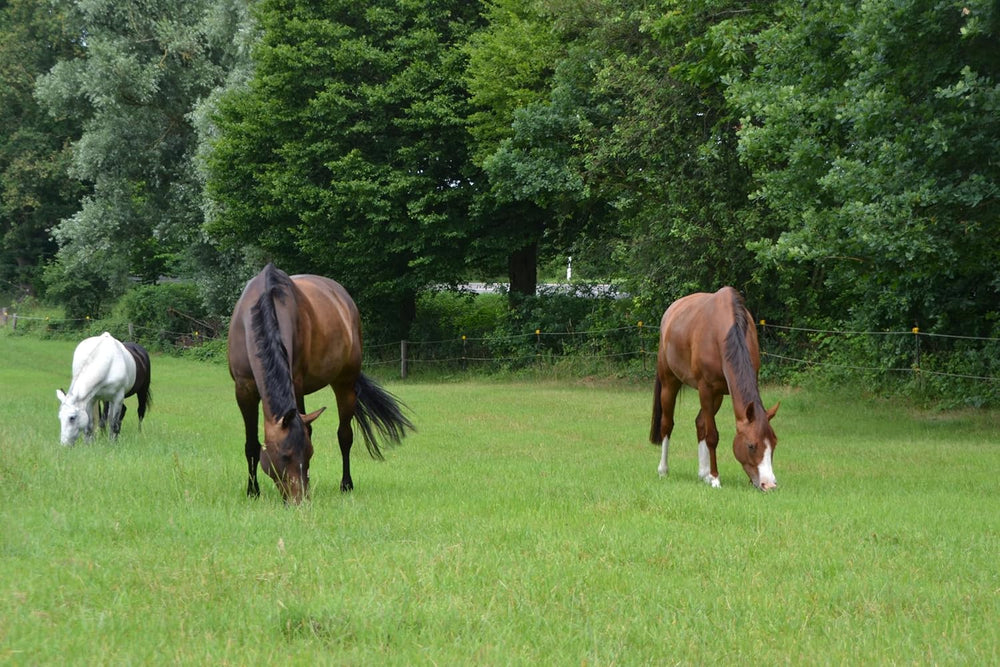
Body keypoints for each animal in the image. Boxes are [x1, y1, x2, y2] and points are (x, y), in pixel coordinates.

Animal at [228, 263, 414, 504]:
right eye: (284, 456)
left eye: (310, 453)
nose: (299, 501)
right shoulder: (244, 389)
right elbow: (251, 444)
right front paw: (253, 491)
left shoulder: (296, 384)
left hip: (344, 384)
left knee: (345, 435)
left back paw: (346, 484)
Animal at [650, 287, 780, 490]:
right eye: (751, 446)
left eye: (774, 444)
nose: (769, 484)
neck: (723, 331)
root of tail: (670, 312)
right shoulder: (706, 389)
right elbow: (712, 435)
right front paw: (716, 478)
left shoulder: (719, 391)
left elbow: (704, 427)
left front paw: (710, 475)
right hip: (669, 382)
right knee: (667, 424)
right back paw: (663, 470)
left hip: (716, 395)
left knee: (699, 423)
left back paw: (703, 473)